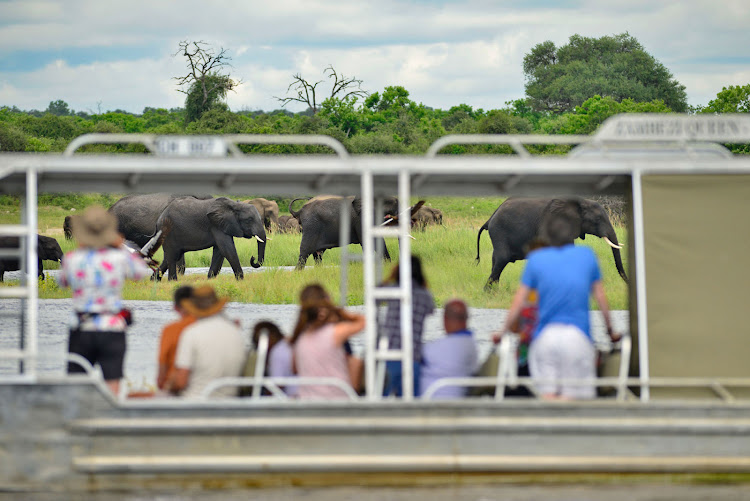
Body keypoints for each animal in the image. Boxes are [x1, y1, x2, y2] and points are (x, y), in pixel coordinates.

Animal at [478, 196, 632, 288]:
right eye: (598, 219)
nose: (628, 282)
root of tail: (491, 217)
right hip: (499, 231)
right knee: (501, 259)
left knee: (496, 261)